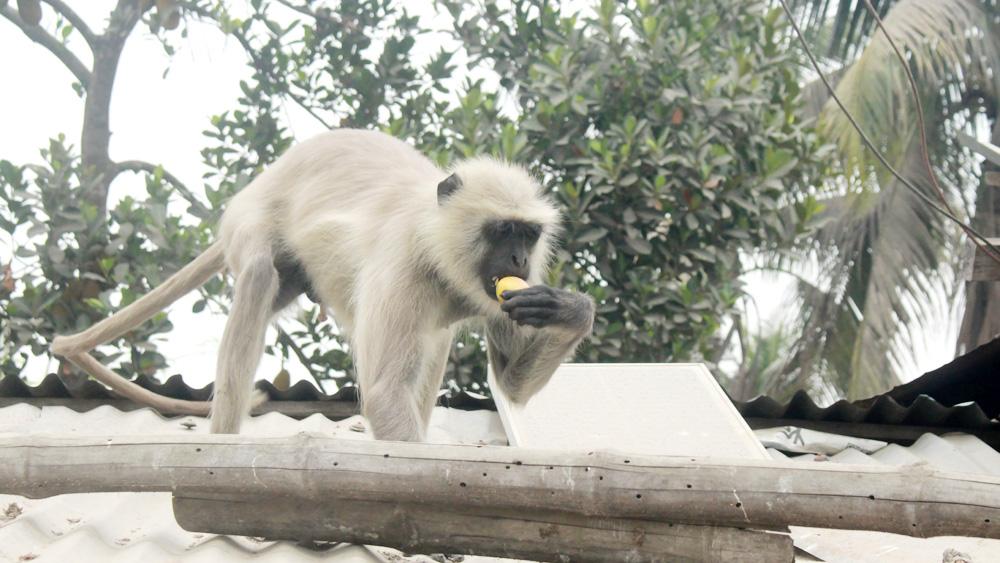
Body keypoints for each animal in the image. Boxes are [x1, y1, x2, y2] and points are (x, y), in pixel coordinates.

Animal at [52, 130, 592, 442]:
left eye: (528, 234)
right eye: (502, 231)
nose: (519, 259)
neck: (434, 237)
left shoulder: (503, 290)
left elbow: (511, 385)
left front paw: (569, 309)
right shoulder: (401, 267)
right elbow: (384, 396)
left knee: (434, 341)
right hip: (249, 225)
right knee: (257, 277)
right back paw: (223, 442)